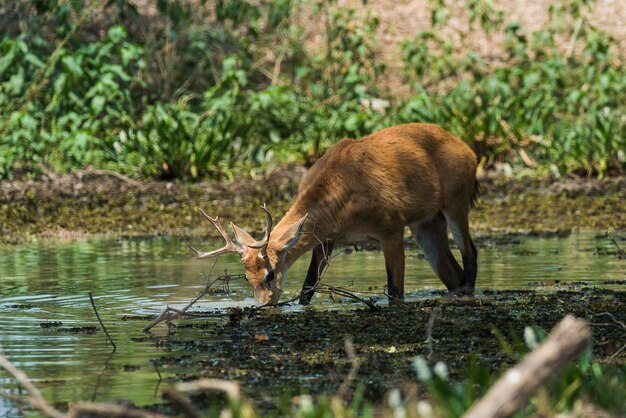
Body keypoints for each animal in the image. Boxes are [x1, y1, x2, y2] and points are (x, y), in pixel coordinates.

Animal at [193, 122, 476, 306]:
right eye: (246, 277)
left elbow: (396, 293)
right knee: (452, 271)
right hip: (426, 221)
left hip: (456, 200)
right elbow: (307, 289)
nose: (261, 305)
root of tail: (470, 152)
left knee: (470, 254)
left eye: (270, 274)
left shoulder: (391, 227)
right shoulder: (325, 240)